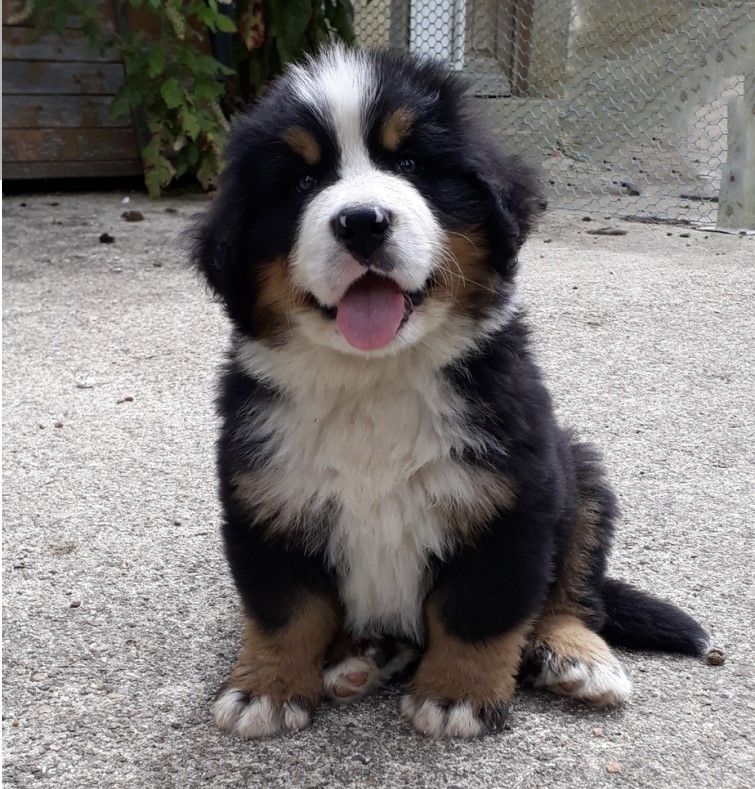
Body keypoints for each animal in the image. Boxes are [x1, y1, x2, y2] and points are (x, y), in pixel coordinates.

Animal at [192, 44, 712, 740]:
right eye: (300, 182)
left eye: (410, 164)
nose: (362, 222)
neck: (375, 380)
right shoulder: (266, 497)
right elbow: (284, 611)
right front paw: (266, 690)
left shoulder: (511, 498)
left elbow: (480, 610)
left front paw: (454, 697)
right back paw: (364, 655)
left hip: (581, 475)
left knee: (573, 593)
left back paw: (577, 657)